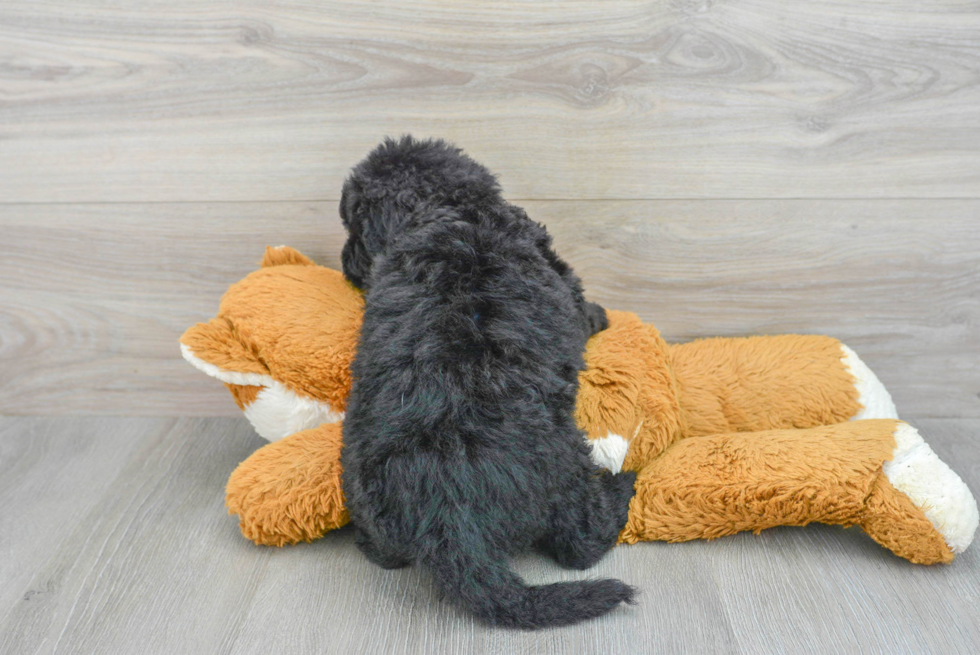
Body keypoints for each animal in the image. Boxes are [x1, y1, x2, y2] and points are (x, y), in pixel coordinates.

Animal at [340, 135, 640, 632]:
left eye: (352, 224)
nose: (344, 264)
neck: (447, 208)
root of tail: (449, 526)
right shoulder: (563, 282)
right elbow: (583, 309)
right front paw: (603, 315)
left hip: (363, 490)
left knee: (385, 554)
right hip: (565, 469)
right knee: (580, 544)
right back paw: (623, 486)